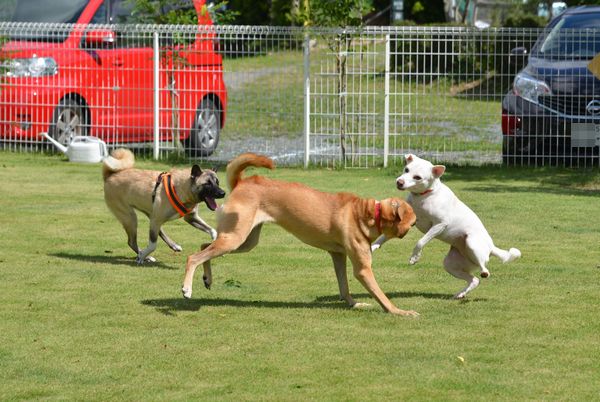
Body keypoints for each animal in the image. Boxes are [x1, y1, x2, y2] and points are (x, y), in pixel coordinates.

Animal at [180, 152, 420, 316]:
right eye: (412, 222)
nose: (416, 225)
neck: (367, 213)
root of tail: (242, 182)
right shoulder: (363, 269)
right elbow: (381, 295)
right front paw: (399, 312)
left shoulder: (338, 255)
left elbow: (344, 286)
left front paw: (353, 303)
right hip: (235, 238)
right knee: (194, 256)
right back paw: (187, 288)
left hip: (243, 241)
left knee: (204, 246)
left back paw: (207, 279)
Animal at [370, 154, 520, 298]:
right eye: (406, 170)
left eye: (417, 177)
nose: (399, 182)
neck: (423, 197)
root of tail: (491, 247)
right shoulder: (405, 223)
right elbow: (384, 237)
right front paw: (374, 246)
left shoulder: (439, 224)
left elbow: (420, 242)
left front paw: (414, 258)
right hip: (451, 264)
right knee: (474, 280)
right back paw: (461, 294)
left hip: (471, 243)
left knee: (484, 268)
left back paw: (484, 272)